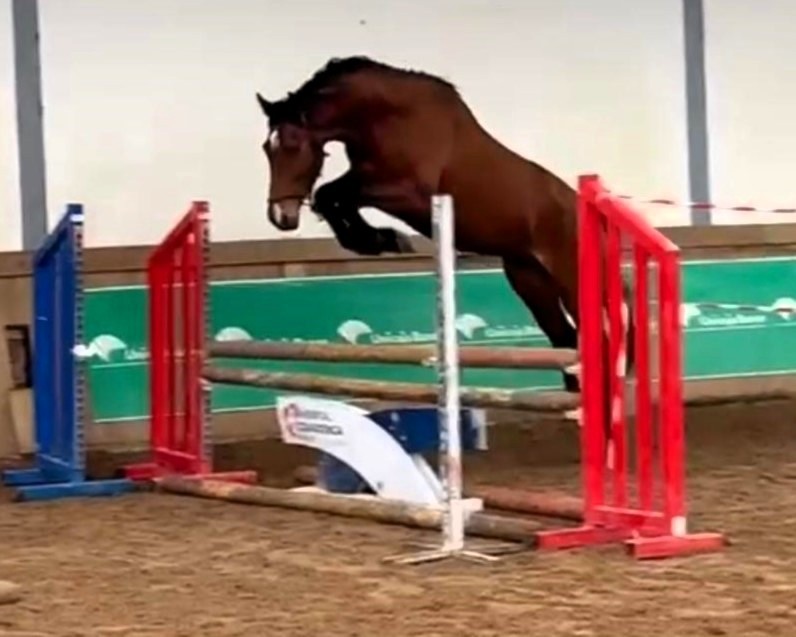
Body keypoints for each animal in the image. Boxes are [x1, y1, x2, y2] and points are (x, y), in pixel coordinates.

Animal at [254, 56, 633, 398]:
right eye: (266, 149)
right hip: (529, 280)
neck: (387, 116)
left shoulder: (407, 194)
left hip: (571, 278)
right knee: (564, 337)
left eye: (292, 145)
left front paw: (384, 238)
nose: (281, 217)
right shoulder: (368, 180)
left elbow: (331, 194)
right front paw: (373, 239)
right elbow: (330, 197)